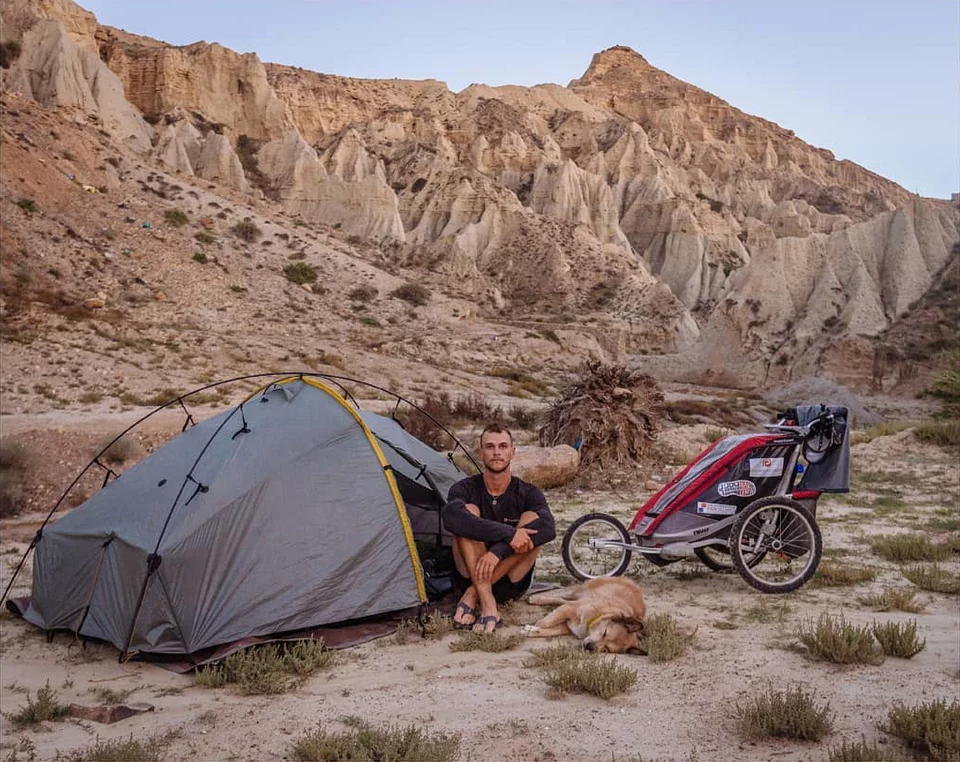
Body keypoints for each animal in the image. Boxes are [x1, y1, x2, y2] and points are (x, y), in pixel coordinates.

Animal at [520, 576, 648, 652]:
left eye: (606, 649)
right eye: (605, 633)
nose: (589, 647)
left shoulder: (567, 626)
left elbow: (548, 630)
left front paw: (531, 630)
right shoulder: (569, 609)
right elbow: (545, 623)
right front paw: (530, 628)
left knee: (562, 600)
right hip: (580, 594)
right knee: (561, 598)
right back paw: (535, 599)